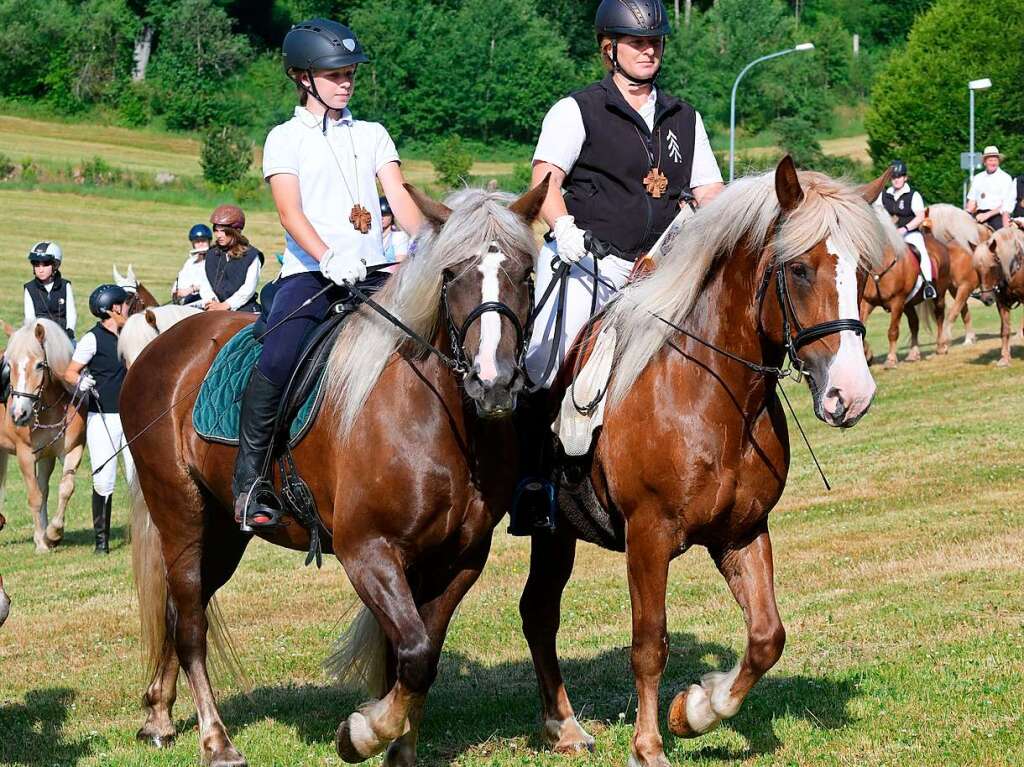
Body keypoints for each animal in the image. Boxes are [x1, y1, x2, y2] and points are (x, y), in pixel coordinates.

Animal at [0, 317, 86, 548]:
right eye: (9, 365)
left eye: (40, 364)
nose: (19, 414)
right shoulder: (25, 456)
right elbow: (35, 497)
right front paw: (40, 541)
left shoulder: (68, 451)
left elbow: (63, 488)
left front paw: (53, 532)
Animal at [119, 182, 548, 761]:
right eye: (452, 273)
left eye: (526, 273)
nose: (493, 383)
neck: (437, 418)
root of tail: (158, 346)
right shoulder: (367, 551)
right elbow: (413, 654)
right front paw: (362, 733)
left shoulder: (460, 558)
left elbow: (419, 658)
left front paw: (398, 749)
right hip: (180, 514)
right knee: (189, 623)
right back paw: (216, 740)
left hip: (224, 529)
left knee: (177, 609)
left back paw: (159, 717)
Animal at [520, 156, 888, 765]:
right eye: (800, 270)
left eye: (861, 274)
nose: (851, 395)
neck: (709, 392)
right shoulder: (648, 536)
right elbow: (650, 642)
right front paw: (649, 746)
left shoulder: (742, 531)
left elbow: (766, 636)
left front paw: (697, 709)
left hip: (557, 535)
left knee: (537, 612)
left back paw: (563, 726)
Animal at [856, 206, 950, 368]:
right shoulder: (867, 302)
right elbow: (861, 327)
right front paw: (868, 355)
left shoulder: (897, 302)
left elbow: (893, 331)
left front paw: (891, 359)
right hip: (908, 304)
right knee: (914, 323)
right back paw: (913, 354)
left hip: (938, 294)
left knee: (939, 315)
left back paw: (940, 347)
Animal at [966, 221, 1024, 364]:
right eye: (976, 268)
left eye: (992, 266)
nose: (987, 299)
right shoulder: (1002, 302)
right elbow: (1005, 329)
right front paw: (1005, 358)